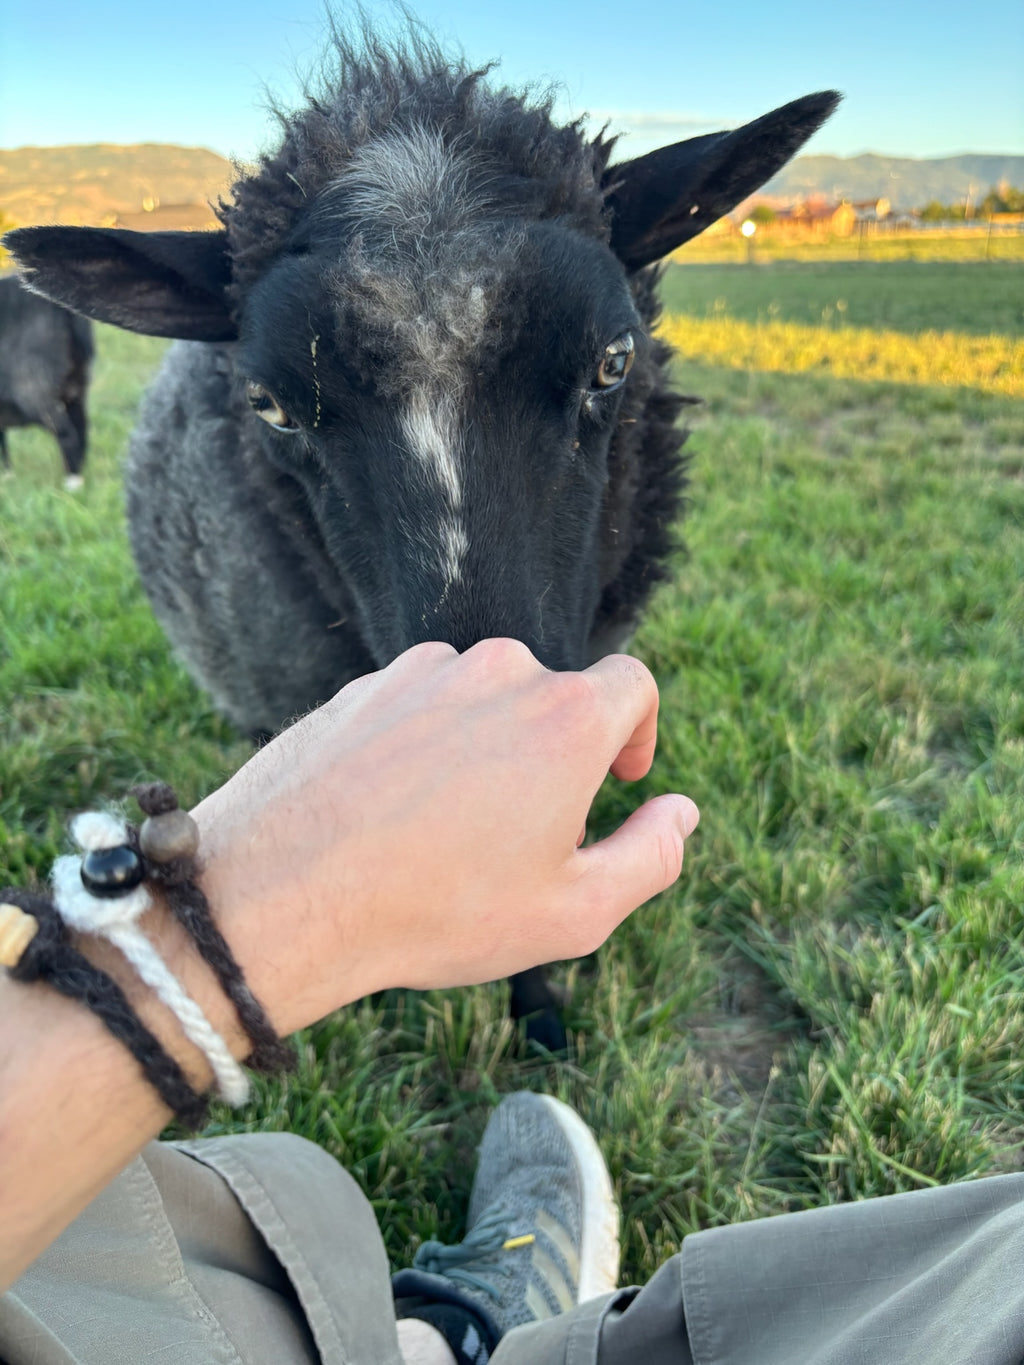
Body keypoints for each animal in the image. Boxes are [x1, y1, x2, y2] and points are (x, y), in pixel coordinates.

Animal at [0, 272, 93, 488]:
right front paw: (8, 475)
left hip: (35, 389)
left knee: (67, 435)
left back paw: (71, 485)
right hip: (76, 387)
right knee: (82, 428)